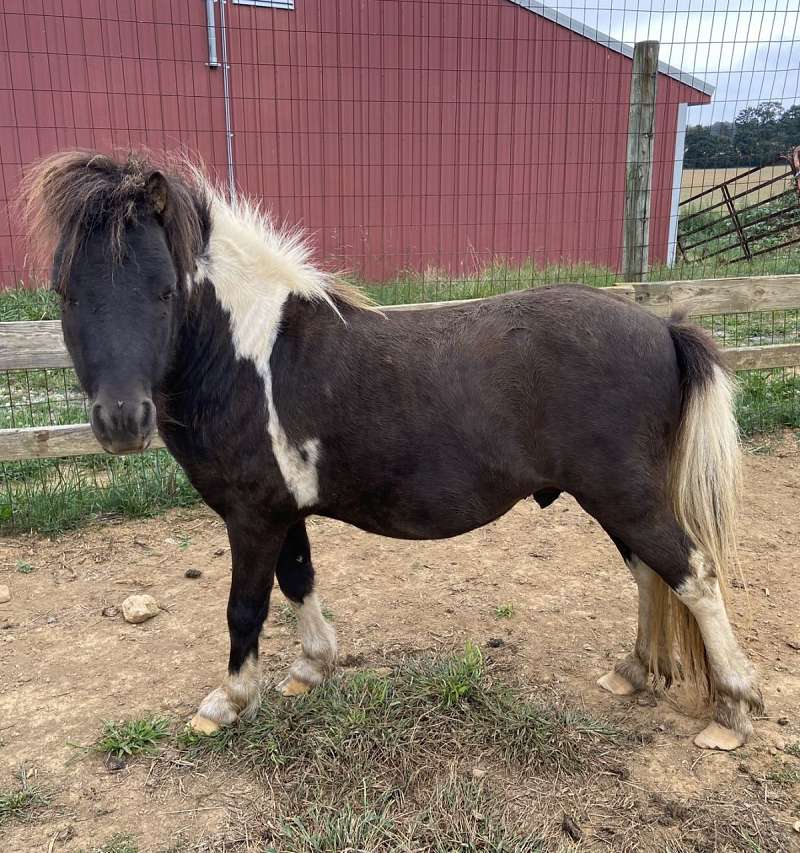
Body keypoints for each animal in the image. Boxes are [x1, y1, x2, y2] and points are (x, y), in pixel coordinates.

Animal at [21, 150, 763, 751]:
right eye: (66, 292)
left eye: (164, 289)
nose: (122, 419)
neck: (247, 358)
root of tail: (664, 329)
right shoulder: (283, 510)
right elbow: (298, 580)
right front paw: (311, 669)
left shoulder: (252, 515)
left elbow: (245, 607)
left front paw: (228, 702)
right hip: (614, 499)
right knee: (650, 575)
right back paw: (633, 672)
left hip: (625, 496)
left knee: (693, 575)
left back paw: (732, 710)